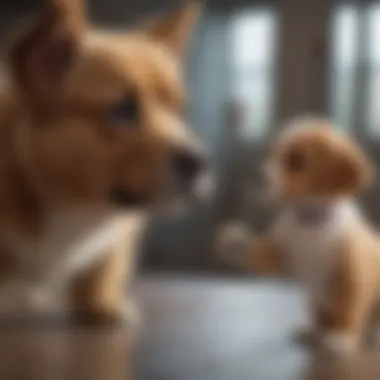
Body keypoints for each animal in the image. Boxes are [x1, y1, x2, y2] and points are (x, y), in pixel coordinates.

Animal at [0, 0, 211, 324]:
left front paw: (102, 305)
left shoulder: (120, 231)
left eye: (179, 111)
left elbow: (104, 268)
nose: (200, 162)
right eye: (122, 110)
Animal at [217, 117, 380, 354]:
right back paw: (314, 331)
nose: (257, 175)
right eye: (271, 152)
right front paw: (235, 241)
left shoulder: (351, 278)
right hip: (317, 300)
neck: (310, 222)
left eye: (296, 160)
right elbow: (260, 253)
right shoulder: (280, 257)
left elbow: (348, 311)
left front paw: (341, 337)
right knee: (322, 315)